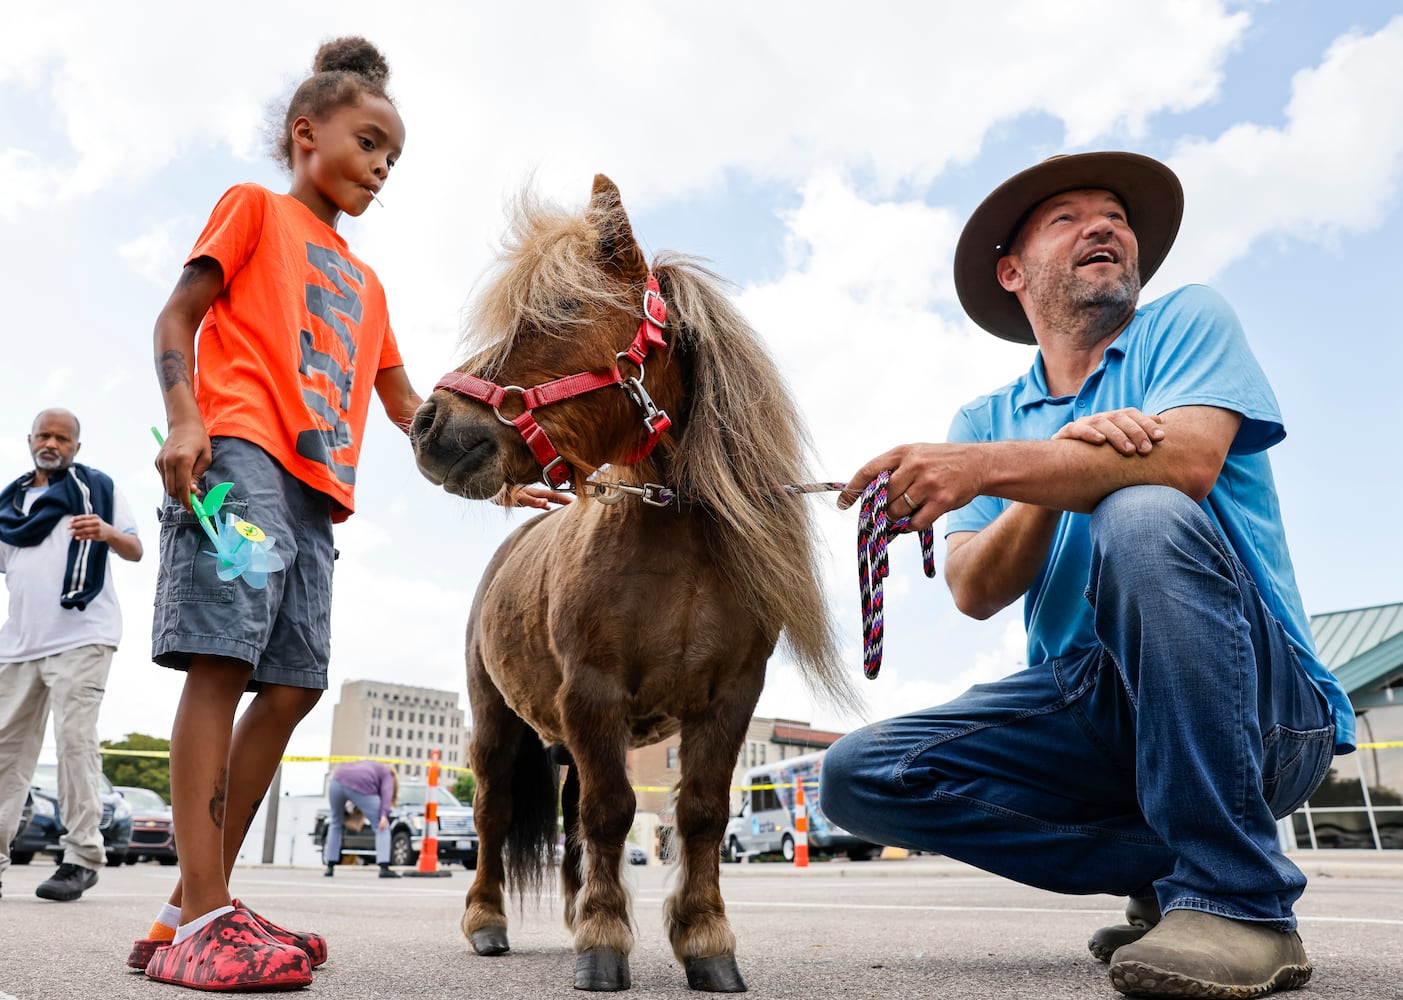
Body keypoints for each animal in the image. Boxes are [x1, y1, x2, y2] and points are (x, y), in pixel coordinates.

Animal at [409, 173, 847, 992]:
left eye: (560, 310)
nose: (428, 425)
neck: (679, 538)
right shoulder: (593, 694)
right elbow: (611, 813)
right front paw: (605, 941)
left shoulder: (728, 701)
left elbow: (699, 815)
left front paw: (704, 941)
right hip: (496, 725)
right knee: (493, 814)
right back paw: (487, 921)